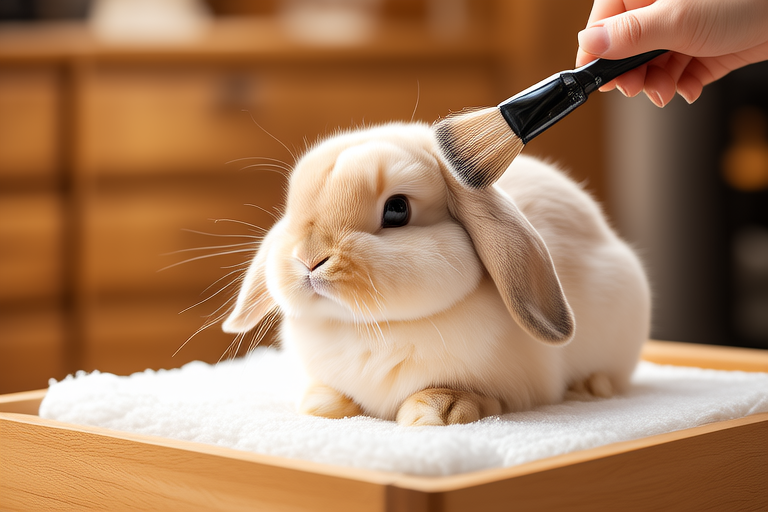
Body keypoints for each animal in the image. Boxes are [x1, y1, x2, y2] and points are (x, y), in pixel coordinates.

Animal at [222, 122, 651, 426]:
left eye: (397, 210)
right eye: (293, 209)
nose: (308, 259)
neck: (374, 327)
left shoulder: (519, 387)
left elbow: (469, 395)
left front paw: (440, 411)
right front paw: (321, 403)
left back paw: (590, 387)